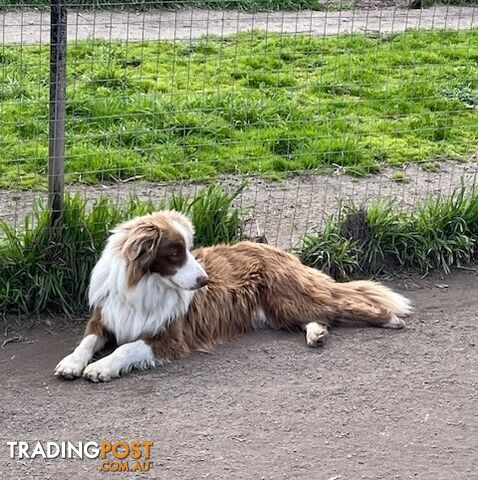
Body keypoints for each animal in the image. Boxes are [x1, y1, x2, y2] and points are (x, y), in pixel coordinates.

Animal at [53, 210, 410, 382]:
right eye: (175, 252)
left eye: (189, 248)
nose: (204, 280)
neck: (144, 285)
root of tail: (278, 250)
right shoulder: (104, 317)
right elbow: (86, 342)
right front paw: (71, 362)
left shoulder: (171, 337)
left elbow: (127, 347)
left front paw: (102, 367)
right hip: (280, 310)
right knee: (318, 318)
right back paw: (317, 334)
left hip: (289, 298)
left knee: (346, 304)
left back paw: (390, 319)